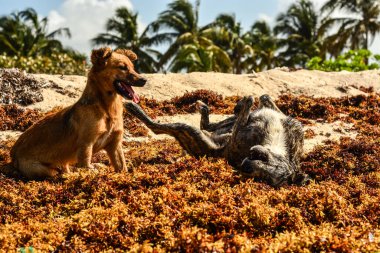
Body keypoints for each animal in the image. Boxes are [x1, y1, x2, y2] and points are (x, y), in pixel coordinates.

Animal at [11, 47, 146, 178]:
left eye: (133, 67)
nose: (144, 80)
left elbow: (123, 168)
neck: (105, 109)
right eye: (122, 67)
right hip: (44, 169)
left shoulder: (115, 146)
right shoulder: (86, 144)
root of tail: (13, 154)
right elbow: (86, 166)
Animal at [126, 96, 310, 187]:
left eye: (263, 178)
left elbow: (248, 103)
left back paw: (132, 107)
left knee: (156, 127)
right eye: (273, 167)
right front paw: (239, 104)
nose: (245, 166)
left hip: (188, 132)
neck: (276, 142)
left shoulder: (238, 133)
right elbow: (261, 99)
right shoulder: (292, 126)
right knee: (208, 124)